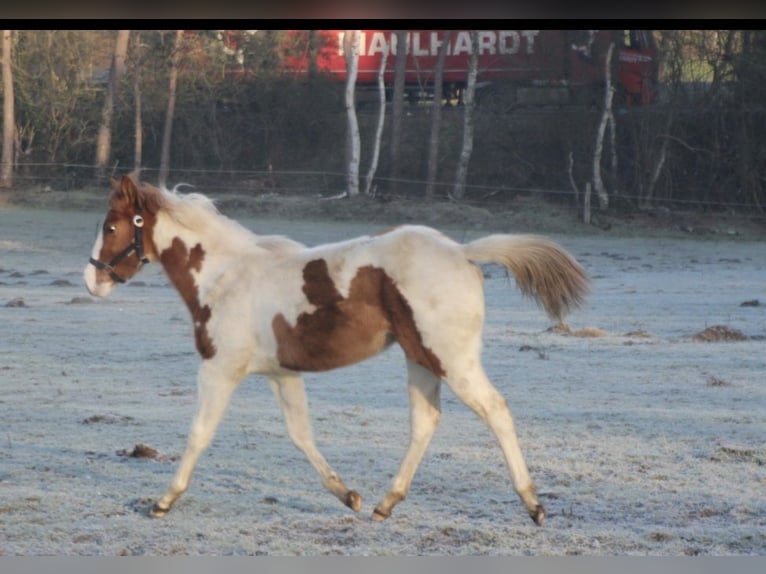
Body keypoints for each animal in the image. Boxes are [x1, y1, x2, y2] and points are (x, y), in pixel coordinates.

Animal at [84, 175, 589, 525]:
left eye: (110, 226)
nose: (92, 281)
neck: (225, 276)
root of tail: (462, 251)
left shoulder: (219, 369)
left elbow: (199, 434)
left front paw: (163, 501)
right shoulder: (282, 373)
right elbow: (300, 434)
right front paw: (348, 495)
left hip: (451, 359)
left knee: (496, 410)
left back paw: (533, 504)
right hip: (420, 358)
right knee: (425, 422)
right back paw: (385, 504)